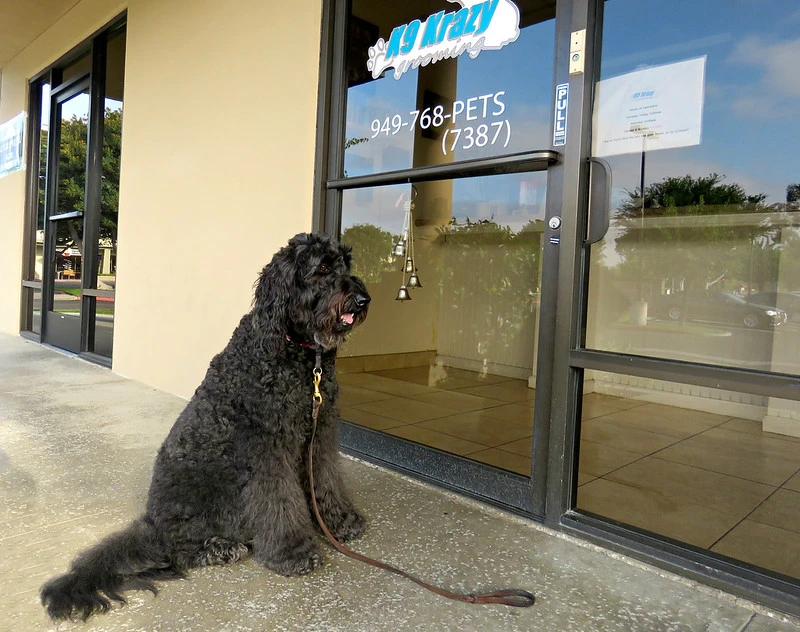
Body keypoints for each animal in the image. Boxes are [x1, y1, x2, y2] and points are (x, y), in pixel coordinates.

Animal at [39, 230, 370, 620]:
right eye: (322, 268)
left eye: (346, 264)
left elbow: (326, 477)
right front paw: (292, 552)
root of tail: (153, 522)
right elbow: (278, 499)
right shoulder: (268, 443)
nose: (363, 300)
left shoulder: (320, 431)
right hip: (212, 495)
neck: (297, 353)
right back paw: (220, 548)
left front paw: (340, 522)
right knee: (178, 548)